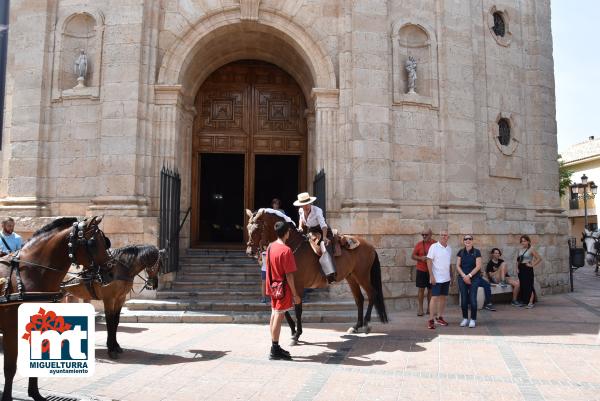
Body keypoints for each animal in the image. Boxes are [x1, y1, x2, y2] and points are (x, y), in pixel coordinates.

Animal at [0, 216, 112, 400]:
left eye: (106, 241)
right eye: (93, 243)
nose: (110, 273)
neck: (30, 274)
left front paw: (35, 393)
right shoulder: (11, 330)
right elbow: (9, 367)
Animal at [245, 208, 390, 342]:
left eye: (257, 228)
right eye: (248, 227)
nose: (249, 251)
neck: (292, 247)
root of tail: (370, 246)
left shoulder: (298, 285)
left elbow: (298, 308)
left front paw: (297, 334)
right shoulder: (286, 284)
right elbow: (283, 309)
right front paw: (293, 330)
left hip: (362, 275)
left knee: (372, 294)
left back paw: (366, 324)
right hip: (351, 277)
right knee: (359, 299)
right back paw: (356, 326)